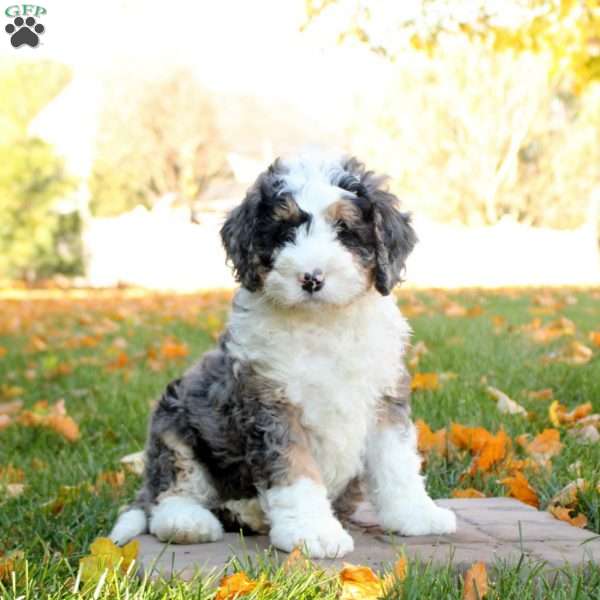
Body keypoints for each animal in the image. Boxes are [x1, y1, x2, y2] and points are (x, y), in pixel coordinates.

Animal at [109, 150, 454, 556]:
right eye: (285, 231)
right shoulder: (271, 404)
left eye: (344, 229)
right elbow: (295, 471)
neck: (323, 324)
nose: (311, 278)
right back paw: (191, 523)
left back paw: (249, 514)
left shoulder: (384, 397)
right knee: (168, 497)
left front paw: (417, 515)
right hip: (174, 427)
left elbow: (397, 462)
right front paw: (313, 533)